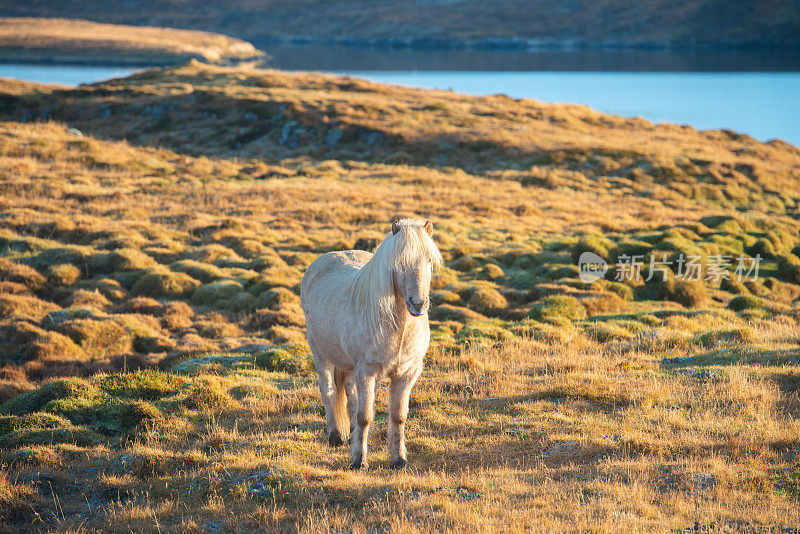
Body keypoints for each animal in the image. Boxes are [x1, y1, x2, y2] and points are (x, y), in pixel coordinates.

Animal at [298, 218, 440, 468]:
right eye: (399, 263)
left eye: (429, 261)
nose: (418, 304)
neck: (397, 327)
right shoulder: (367, 371)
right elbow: (365, 416)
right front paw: (358, 460)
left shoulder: (407, 373)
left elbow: (398, 415)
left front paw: (398, 459)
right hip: (321, 356)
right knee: (329, 392)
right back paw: (335, 437)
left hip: (348, 367)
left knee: (351, 395)